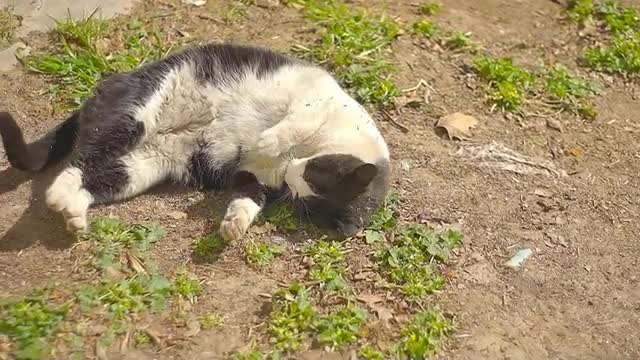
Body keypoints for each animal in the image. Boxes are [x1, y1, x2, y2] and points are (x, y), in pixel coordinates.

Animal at [0, 43, 390, 240]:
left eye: (301, 194)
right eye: (313, 173)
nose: (292, 174)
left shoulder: (254, 175)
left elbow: (249, 196)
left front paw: (234, 225)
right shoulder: (315, 104)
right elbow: (288, 128)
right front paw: (267, 141)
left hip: (141, 167)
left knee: (96, 177)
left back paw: (74, 215)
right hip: (135, 114)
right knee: (79, 160)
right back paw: (58, 197)